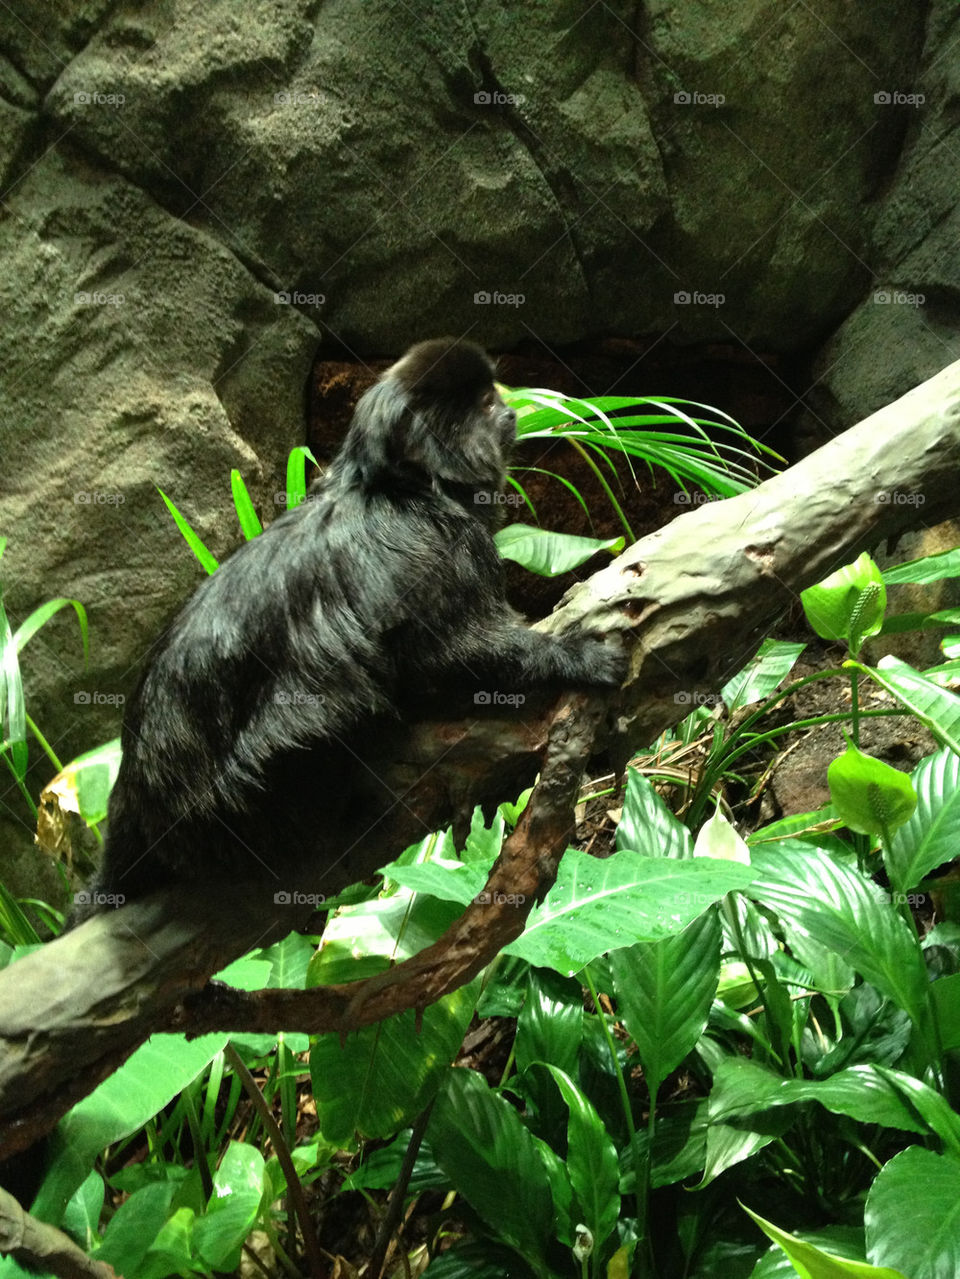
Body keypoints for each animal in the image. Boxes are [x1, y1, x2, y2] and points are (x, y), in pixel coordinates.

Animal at [78, 337, 627, 914]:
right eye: (483, 404)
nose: (507, 409)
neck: (406, 489)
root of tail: (135, 796)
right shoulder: (440, 550)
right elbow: (449, 655)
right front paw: (577, 657)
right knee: (333, 706)